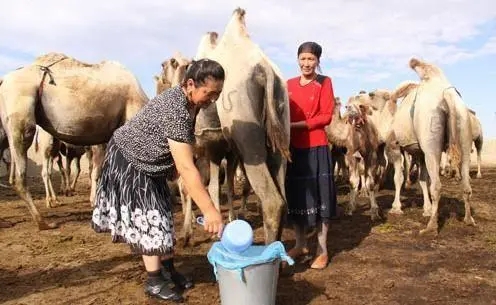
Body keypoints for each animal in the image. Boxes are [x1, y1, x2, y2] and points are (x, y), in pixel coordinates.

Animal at [193, 8, 290, 243]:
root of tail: (265, 70)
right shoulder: (226, 150)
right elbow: (224, 184)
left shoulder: (213, 147)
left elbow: (213, 186)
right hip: (279, 131)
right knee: (283, 194)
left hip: (247, 135)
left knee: (273, 200)